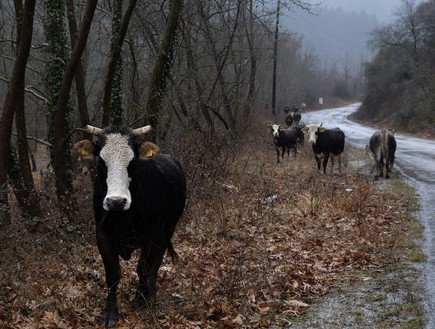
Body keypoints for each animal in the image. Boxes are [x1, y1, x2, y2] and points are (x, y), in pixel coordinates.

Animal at [74, 124, 186, 326]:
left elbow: (143, 268)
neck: (122, 218)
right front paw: (110, 313)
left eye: (132, 161)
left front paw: (142, 299)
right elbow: (112, 275)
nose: (116, 201)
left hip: (167, 229)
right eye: (101, 161)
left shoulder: (151, 235)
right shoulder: (102, 235)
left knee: (155, 262)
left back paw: (150, 292)